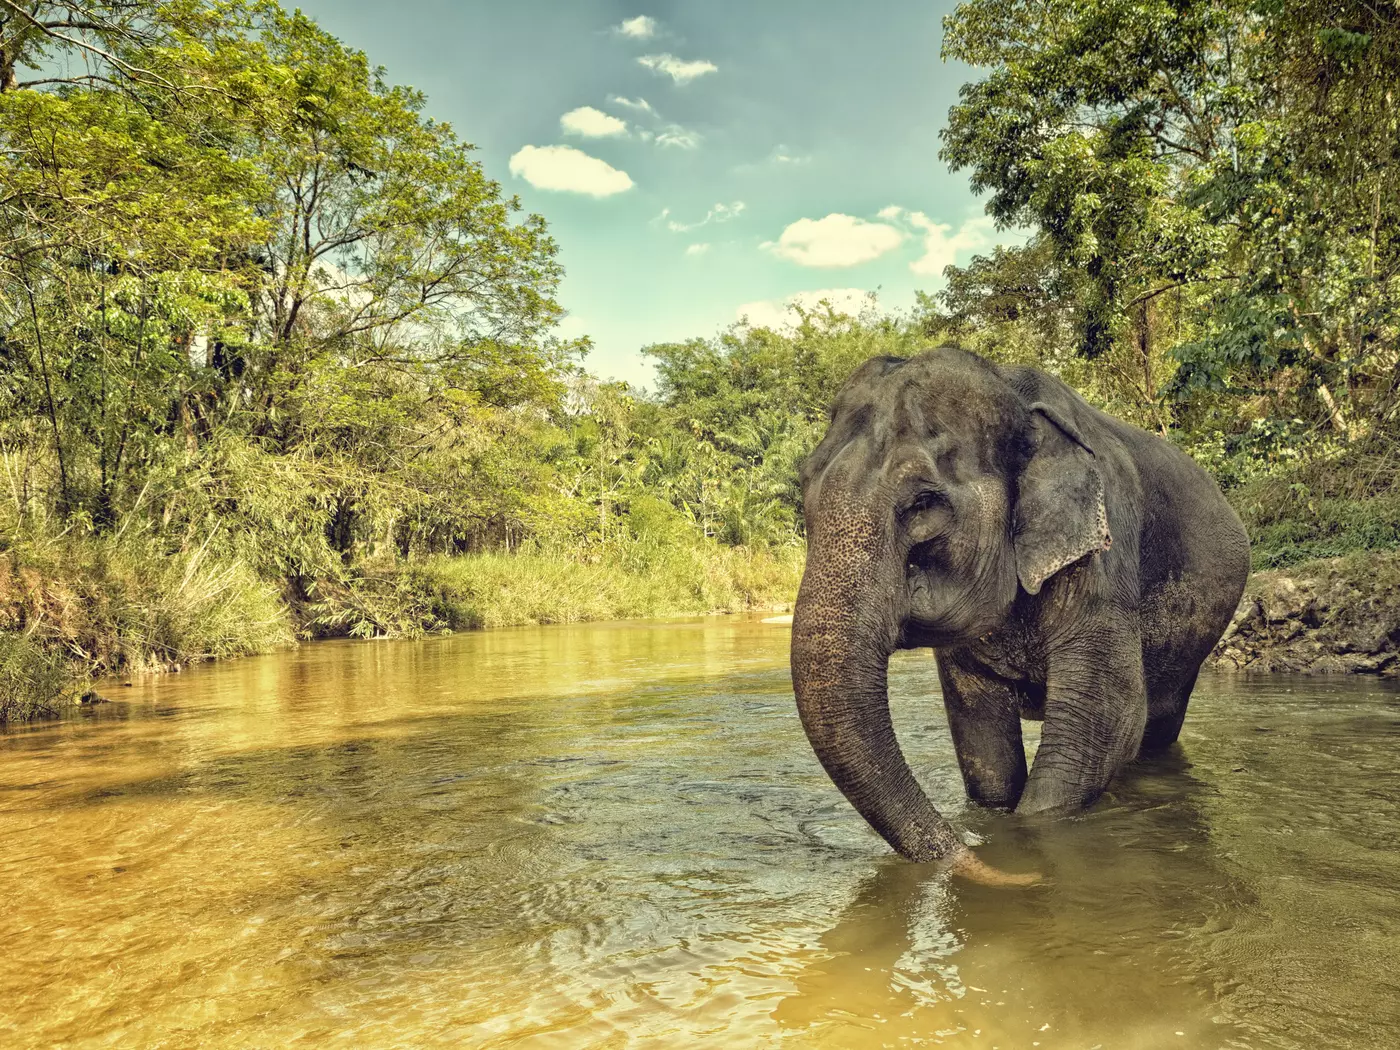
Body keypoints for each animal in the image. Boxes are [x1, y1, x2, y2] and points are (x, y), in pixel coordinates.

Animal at [790, 346, 1250, 882]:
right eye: (804, 487)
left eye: (923, 503)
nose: (1014, 873)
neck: (1010, 388)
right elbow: (982, 738)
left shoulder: (1102, 559)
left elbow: (1106, 720)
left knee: (1157, 723)